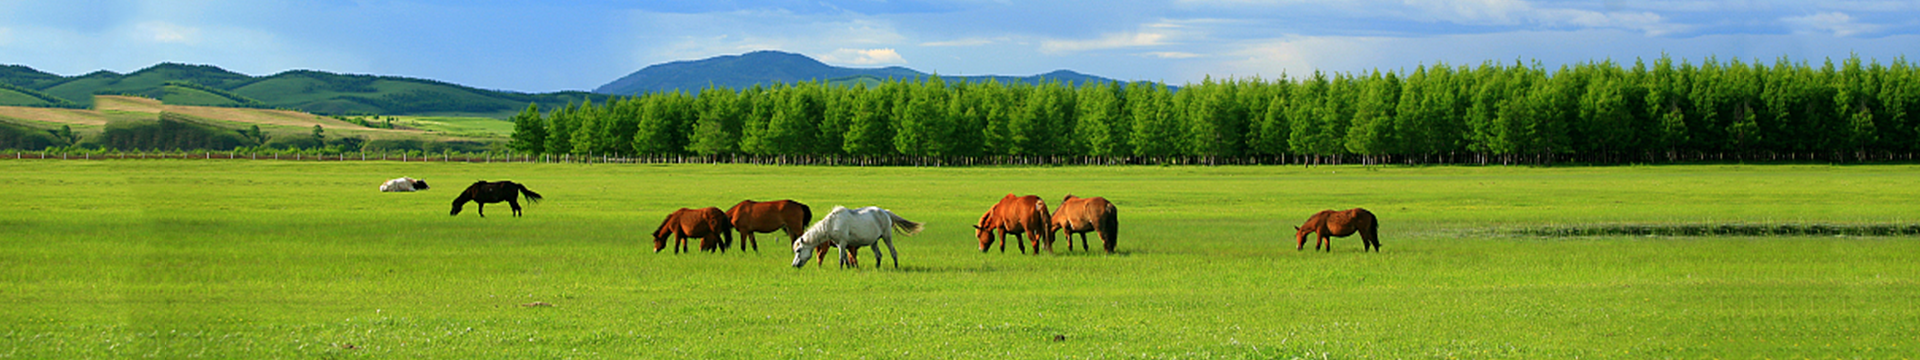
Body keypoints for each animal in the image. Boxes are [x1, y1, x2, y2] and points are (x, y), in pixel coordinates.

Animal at [787, 206, 921, 268]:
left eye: (798, 250)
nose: (794, 265)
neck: (832, 223)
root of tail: (885, 212)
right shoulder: (841, 244)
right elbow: (846, 258)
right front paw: (848, 269)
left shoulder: (842, 243)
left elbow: (841, 258)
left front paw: (841, 270)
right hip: (874, 242)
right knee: (878, 255)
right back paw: (877, 268)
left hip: (887, 237)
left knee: (893, 252)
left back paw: (896, 266)